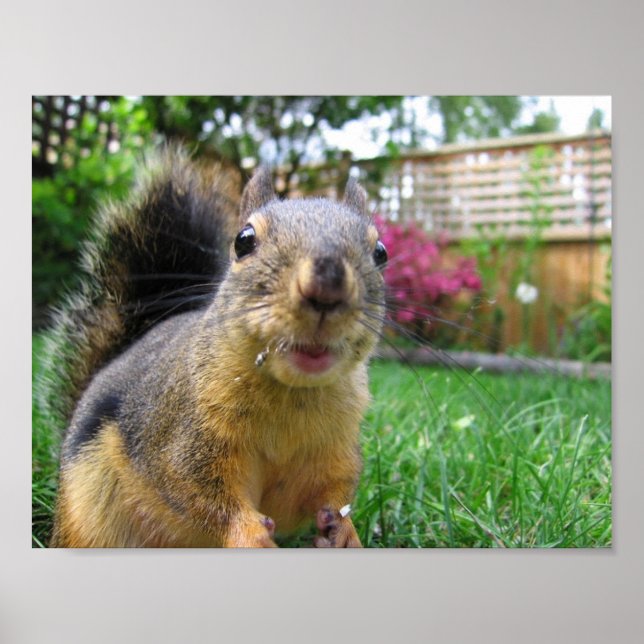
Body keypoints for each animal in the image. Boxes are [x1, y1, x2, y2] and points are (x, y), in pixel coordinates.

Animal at [46, 147, 388, 547]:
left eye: (380, 252)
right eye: (243, 240)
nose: (327, 285)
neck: (293, 393)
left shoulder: (334, 448)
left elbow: (328, 490)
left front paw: (344, 531)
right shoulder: (178, 436)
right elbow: (196, 489)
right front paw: (250, 534)